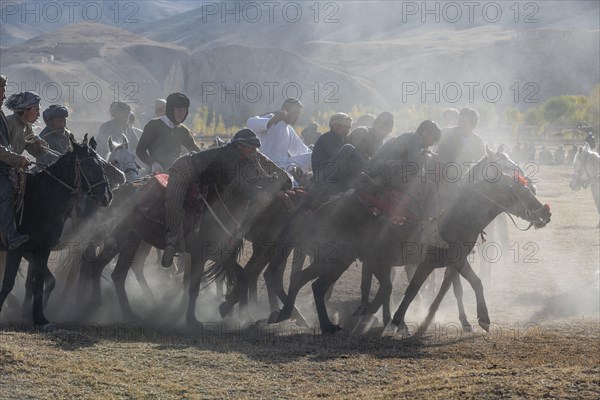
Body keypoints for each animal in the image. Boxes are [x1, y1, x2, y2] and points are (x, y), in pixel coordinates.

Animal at [0, 138, 112, 328]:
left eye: (102, 166)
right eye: (88, 167)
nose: (107, 196)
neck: (40, 199)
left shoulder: (42, 249)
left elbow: (39, 283)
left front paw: (40, 319)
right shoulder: (17, 248)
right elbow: (8, 282)